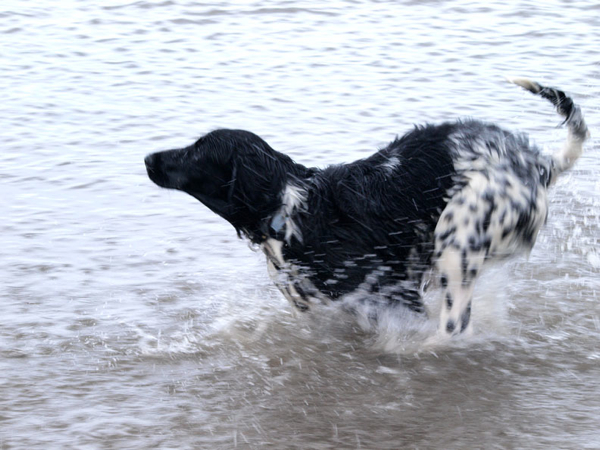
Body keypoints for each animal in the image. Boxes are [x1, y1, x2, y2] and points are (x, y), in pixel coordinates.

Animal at [146, 79, 592, 336]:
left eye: (197, 151)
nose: (149, 157)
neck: (291, 212)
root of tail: (537, 162)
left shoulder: (392, 292)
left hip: (456, 243)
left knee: (453, 325)